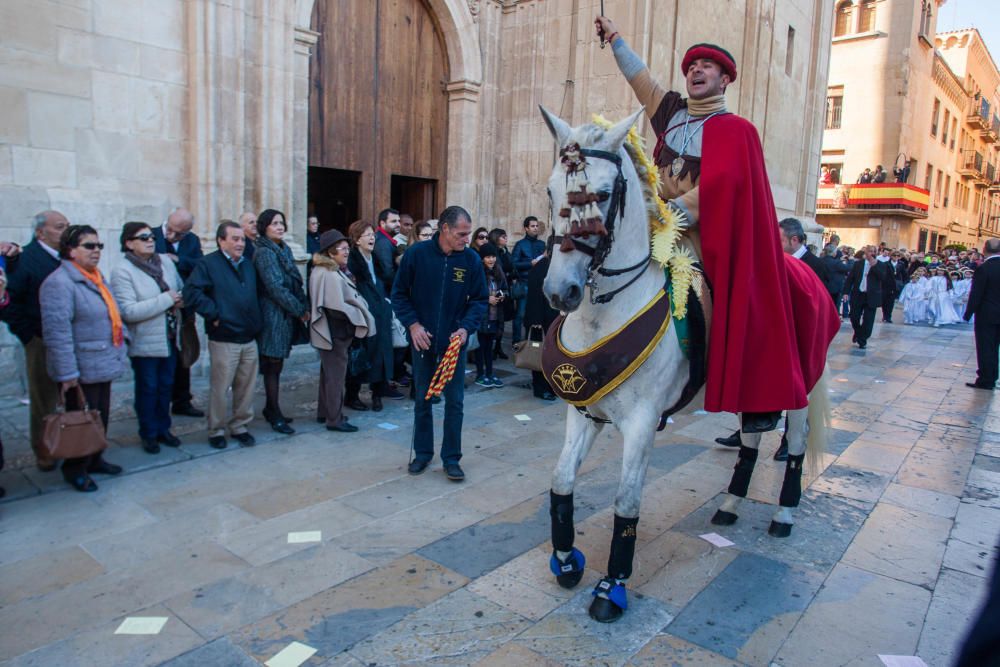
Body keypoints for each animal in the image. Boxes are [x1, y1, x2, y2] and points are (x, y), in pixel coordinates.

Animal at [540, 107, 828, 624]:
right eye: (552, 191)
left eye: (604, 195)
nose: (560, 292)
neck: (607, 310)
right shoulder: (584, 411)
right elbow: (561, 480)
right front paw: (567, 559)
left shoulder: (641, 421)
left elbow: (627, 500)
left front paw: (612, 586)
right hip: (747, 385)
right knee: (752, 438)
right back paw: (731, 504)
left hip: (799, 388)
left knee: (794, 445)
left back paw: (784, 514)